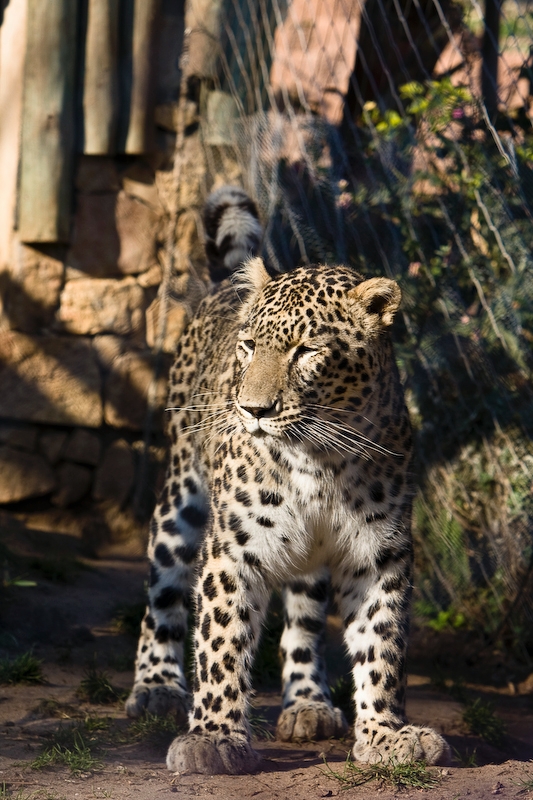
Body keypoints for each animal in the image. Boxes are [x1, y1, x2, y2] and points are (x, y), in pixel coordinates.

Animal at [125, 187, 451, 775]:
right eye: (249, 346)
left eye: (307, 351)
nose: (253, 410)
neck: (320, 461)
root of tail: (222, 287)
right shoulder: (232, 547)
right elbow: (221, 641)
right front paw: (213, 737)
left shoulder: (379, 551)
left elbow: (381, 644)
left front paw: (387, 734)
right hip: (180, 500)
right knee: (162, 593)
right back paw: (157, 688)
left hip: (310, 559)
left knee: (303, 621)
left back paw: (308, 703)